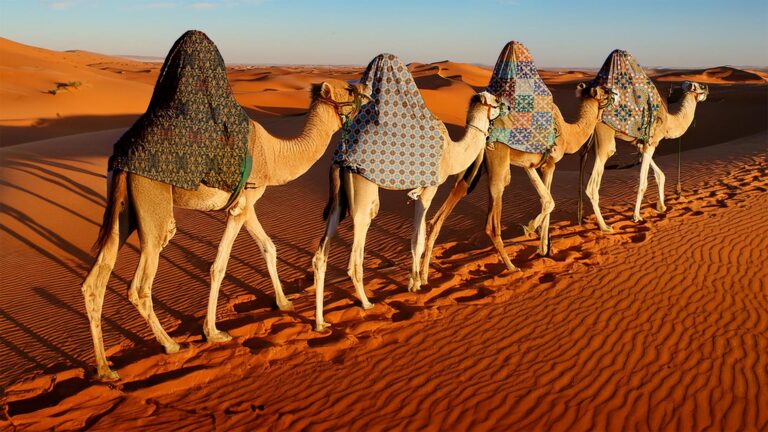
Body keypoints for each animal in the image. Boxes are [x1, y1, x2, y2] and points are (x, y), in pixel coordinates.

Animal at [82, 79, 370, 380]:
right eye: (349, 90)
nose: (368, 89)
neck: (273, 154)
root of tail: (121, 158)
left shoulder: (248, 205)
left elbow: (269, 247)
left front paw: (284, 303)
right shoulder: (240, 207)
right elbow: (219, 266)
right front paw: (213, 332)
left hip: (123, 210)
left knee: (95, 281)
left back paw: (105, 369)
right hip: (153, 205)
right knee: (140, 283)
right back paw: (170, 344)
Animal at [312, 91, 502, 331]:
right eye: (496, 102)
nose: (505, 106)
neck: (451, 153)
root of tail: (341, 158)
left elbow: (416, 236)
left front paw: (416, 280)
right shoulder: (428, 190)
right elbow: (418, 238)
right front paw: (416, 283)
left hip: (338, 201)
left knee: (321, 255)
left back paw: (320, 322)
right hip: (364, 199)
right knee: (355, 257)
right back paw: (366, 303)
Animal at [420, 83, 614, 279]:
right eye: (604, 91)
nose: (615, 93)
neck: (568, 134)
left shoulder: (529, 165)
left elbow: (546, 200)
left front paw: (543, 247)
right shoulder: (549, 164)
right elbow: (550, 202)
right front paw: (534, 235)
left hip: (470, 166)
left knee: (439, 216)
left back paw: (423, 276)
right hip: (497, 163)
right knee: (491, 222)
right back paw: (511, 267)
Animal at [586, 80, 708, 231]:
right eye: (699, 86)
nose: (707, 88)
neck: (668, 122)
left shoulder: (644, 145)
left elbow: (660, 175)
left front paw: (662, 206)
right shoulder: (651, 144)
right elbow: (643, 182)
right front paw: (636, 216)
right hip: (605, 138)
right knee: (592, 187)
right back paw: (604, 226)